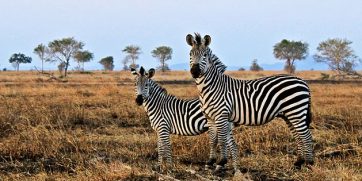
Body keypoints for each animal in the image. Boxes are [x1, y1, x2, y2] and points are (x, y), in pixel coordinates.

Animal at [185, 33, 312, 171]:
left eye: (205, 55)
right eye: (190, 54)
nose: (195, 72)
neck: (211, 88)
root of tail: (302, 81)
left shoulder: (221, 115)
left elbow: (222, 139)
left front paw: (221, 162)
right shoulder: (210, 118)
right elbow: (213, 140)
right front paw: (210, 162)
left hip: (296, 111)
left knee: (306, 136)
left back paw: (309, 163)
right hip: (289, 115)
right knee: (298, 136)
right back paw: (298, 162)